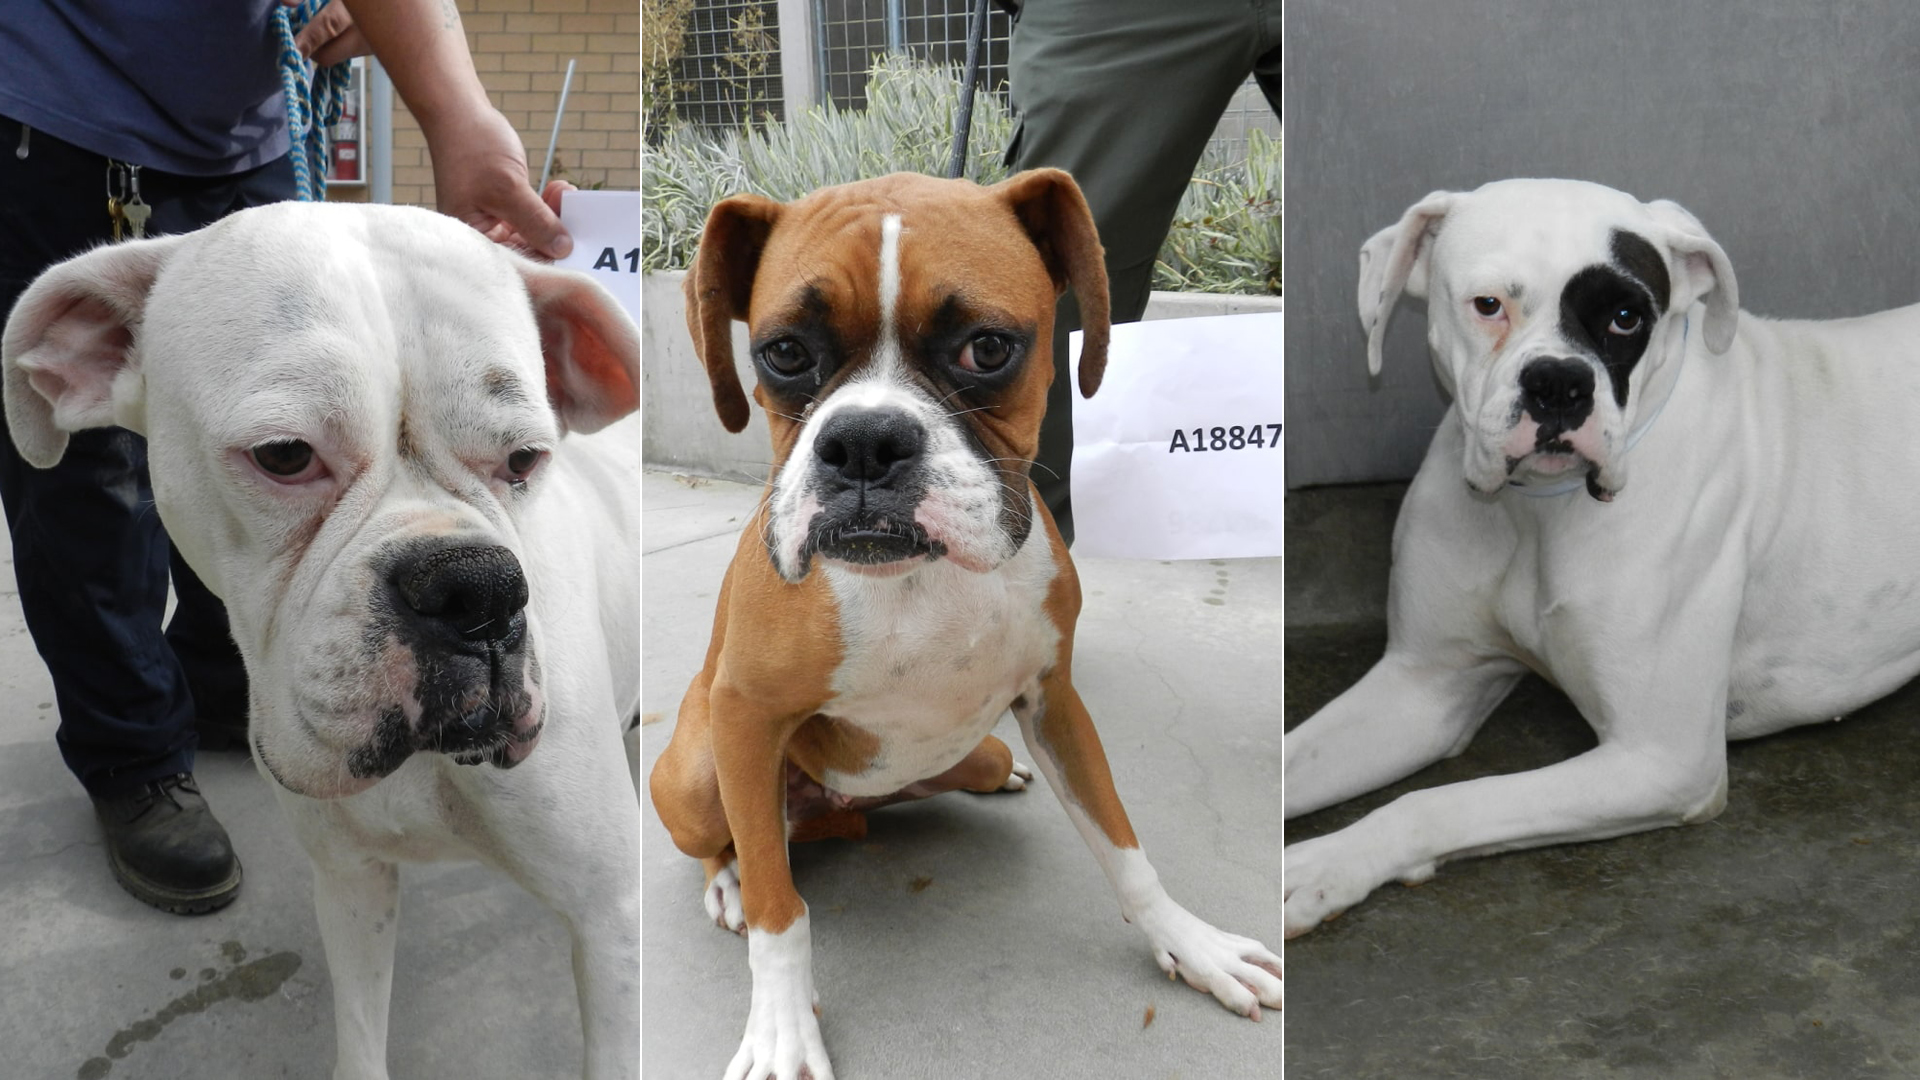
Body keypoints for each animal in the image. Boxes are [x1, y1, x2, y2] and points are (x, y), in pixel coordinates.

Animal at [0, 199, 645, 1068]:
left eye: (525, 459)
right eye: (284, 455)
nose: (475, 588)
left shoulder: (611, 921)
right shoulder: (351, 882)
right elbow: (361, 1033)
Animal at [652, 170, 1282, 1076]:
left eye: (986, 348)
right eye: (785, 353)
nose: (864, 441)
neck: (921, 582)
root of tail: (832, 812)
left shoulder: (1054, 701)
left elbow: (1123, 847)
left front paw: (1190, 945)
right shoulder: (747, 716)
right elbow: (782, 910)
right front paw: (779, 1026)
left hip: (968, 755)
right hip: (702, 774)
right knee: (738, 839)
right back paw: (730, 881)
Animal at [1282, 176, 1920, 933]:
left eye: (1624, 316)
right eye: (1489, 304)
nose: (1559, 383)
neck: (1535, 513)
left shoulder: (1661, 758)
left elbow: (1439, 802)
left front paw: (1320, 866)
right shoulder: (1424, 684)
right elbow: (1292, 759)